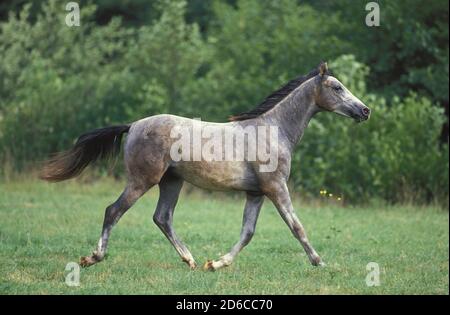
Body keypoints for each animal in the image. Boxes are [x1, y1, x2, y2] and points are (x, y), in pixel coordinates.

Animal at [40, 62, 370, 272]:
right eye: (337, 87)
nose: (365, 110)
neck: (274, 130)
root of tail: (133, 126)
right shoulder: (276, 187)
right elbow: (296, 226)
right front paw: (320, 263)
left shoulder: (256, 193)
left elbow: (247, 232)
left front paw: (216, 264)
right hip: (142, 180)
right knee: (114, 211)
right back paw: (93, 257)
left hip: (172, 182)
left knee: (162, 217)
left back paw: (191, 260)